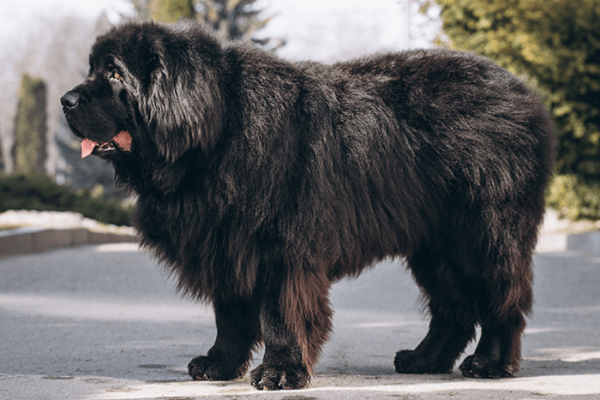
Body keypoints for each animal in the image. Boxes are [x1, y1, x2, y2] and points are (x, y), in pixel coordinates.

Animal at [61, 20, 552, 390]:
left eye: (116, 74)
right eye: (92, 69)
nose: (66, 100)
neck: (217, 134)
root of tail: (525, 94)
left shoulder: (280, 246)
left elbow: (280, 312)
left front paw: (280, 371)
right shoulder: (225, 242)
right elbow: (230, 316)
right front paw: (219, 364)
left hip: (484, 233)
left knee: (501, 299)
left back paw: (490, 363)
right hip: (434, 243)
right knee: (453, 308)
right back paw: (424, 359)